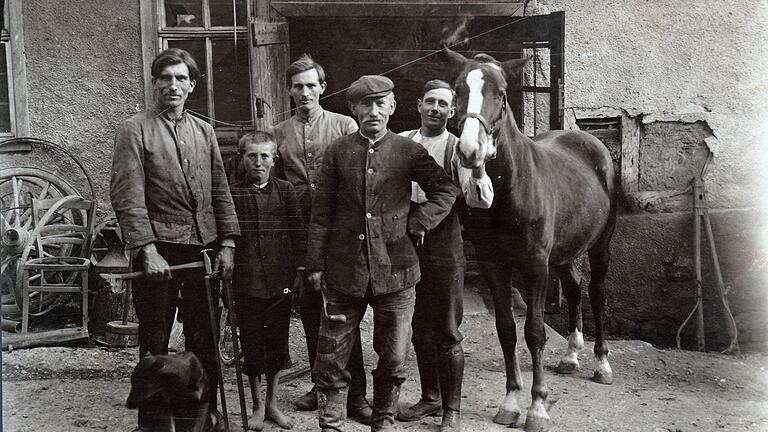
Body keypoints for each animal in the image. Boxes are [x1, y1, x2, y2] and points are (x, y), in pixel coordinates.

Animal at [440, 48, 616, 432]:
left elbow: (534, 332)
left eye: (502, 95)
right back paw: (571, 356)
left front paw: (537, 408)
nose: (470, 151)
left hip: (600, 247)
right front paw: (509, 403)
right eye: (458, 90)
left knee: (596, 294)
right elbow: (506, 329)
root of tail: (591, 144)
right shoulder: (494, 263)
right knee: (575, 290)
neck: (511, 189)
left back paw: (601, 364)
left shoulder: (535, 265)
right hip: (563, 254)